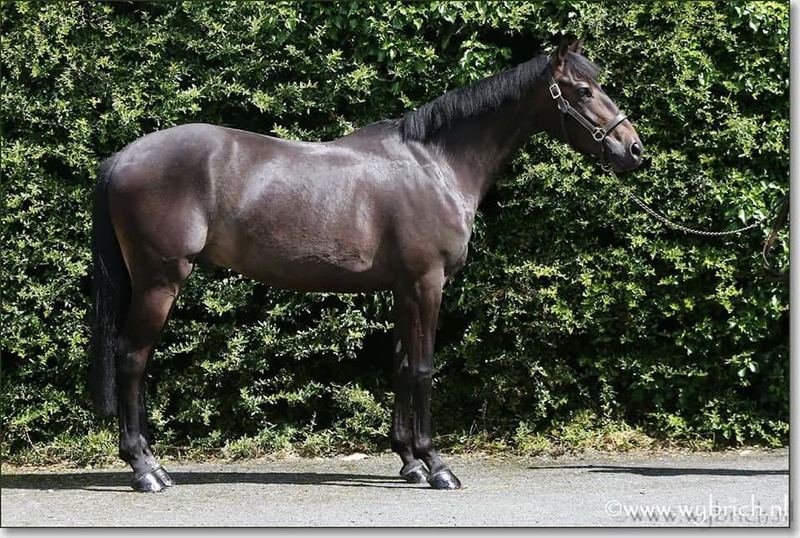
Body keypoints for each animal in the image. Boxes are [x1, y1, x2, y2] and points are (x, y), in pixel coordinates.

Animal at [90, 38, 644, 492]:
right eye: (581, 89)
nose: (633, 149)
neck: (435, 165)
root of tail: (121, 158)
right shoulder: (427, 283)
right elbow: (423, 367)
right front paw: (437, 466)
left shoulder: (403, 287)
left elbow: (399, 367)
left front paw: (410, 462)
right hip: (160, 281)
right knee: (132, 358)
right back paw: (147, 469)